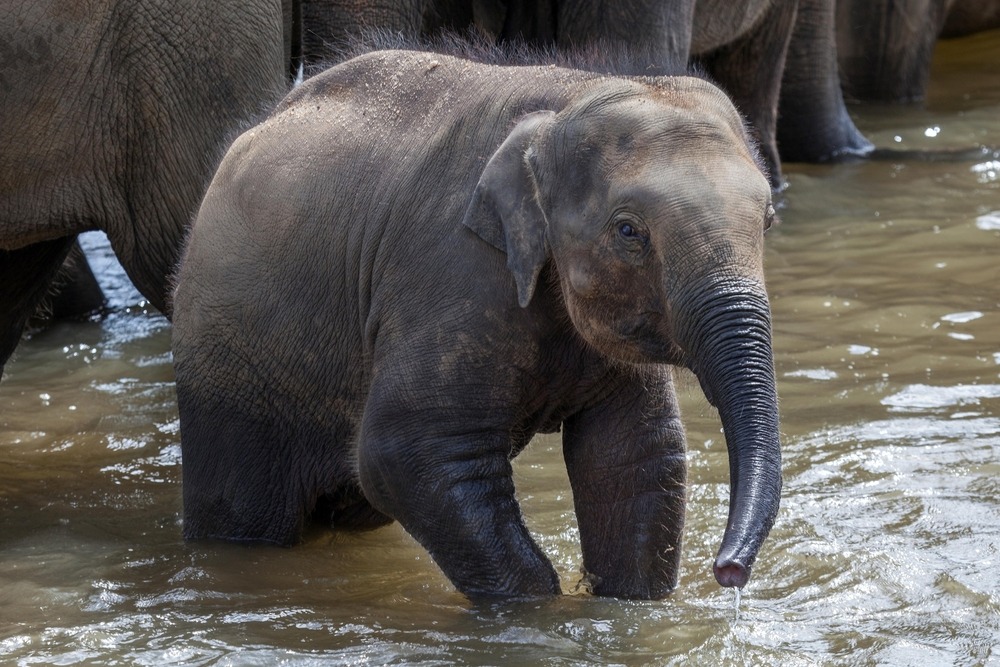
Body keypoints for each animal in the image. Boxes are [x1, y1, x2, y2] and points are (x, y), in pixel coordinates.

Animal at [171, 46, 783, 599]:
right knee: (244, 511)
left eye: (769, 220)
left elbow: (635, 456)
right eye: (629, 231)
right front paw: (537, 613)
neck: (566, 97)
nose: (729, 572)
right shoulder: (448, 270)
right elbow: (403, 454)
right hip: (229, 365)